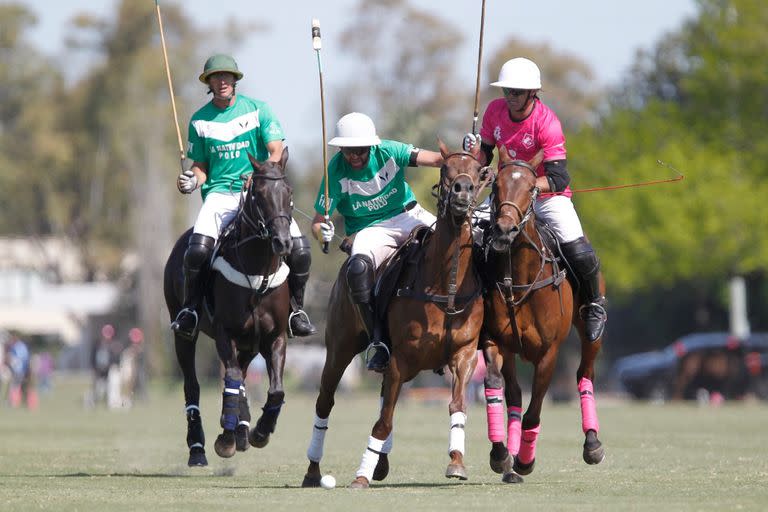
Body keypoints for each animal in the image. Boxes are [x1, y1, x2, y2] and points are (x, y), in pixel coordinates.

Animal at [163, 147, 294, 464]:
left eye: (288, 191)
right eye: (258, 194)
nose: (283, 242)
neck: (259, 271)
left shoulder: (275, 336)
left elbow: (276, 389)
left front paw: (259, 432)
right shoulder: (226, 332)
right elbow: (231, 378)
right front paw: (225, 438)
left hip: (250, 343)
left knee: (243, 375)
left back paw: (243, 431)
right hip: (183, 330)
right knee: (193, 384)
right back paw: (198, 448)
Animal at [480, 146, 608, 482]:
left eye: (531, 189)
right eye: (496, 186)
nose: (504, 231)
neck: (519, 278)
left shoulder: (549, 353)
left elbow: (534, 410)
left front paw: (525, 460)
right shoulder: (495, 342)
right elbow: (496, 386)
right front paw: (502, 455)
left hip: (589, 334)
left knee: (584, 373)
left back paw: (592, 443)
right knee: (513, 395)